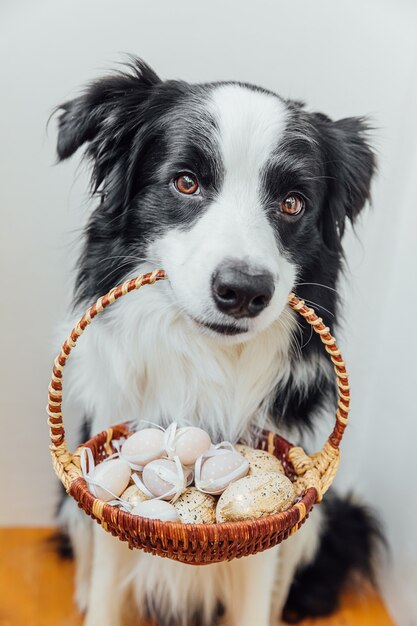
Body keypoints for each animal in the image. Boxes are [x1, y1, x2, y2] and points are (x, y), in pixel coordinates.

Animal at [55, 58, 380, 624]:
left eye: (293, 203)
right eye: (186, 183)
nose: (244, 291)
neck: (205, 360)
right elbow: (106, 586)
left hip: (323, 524)